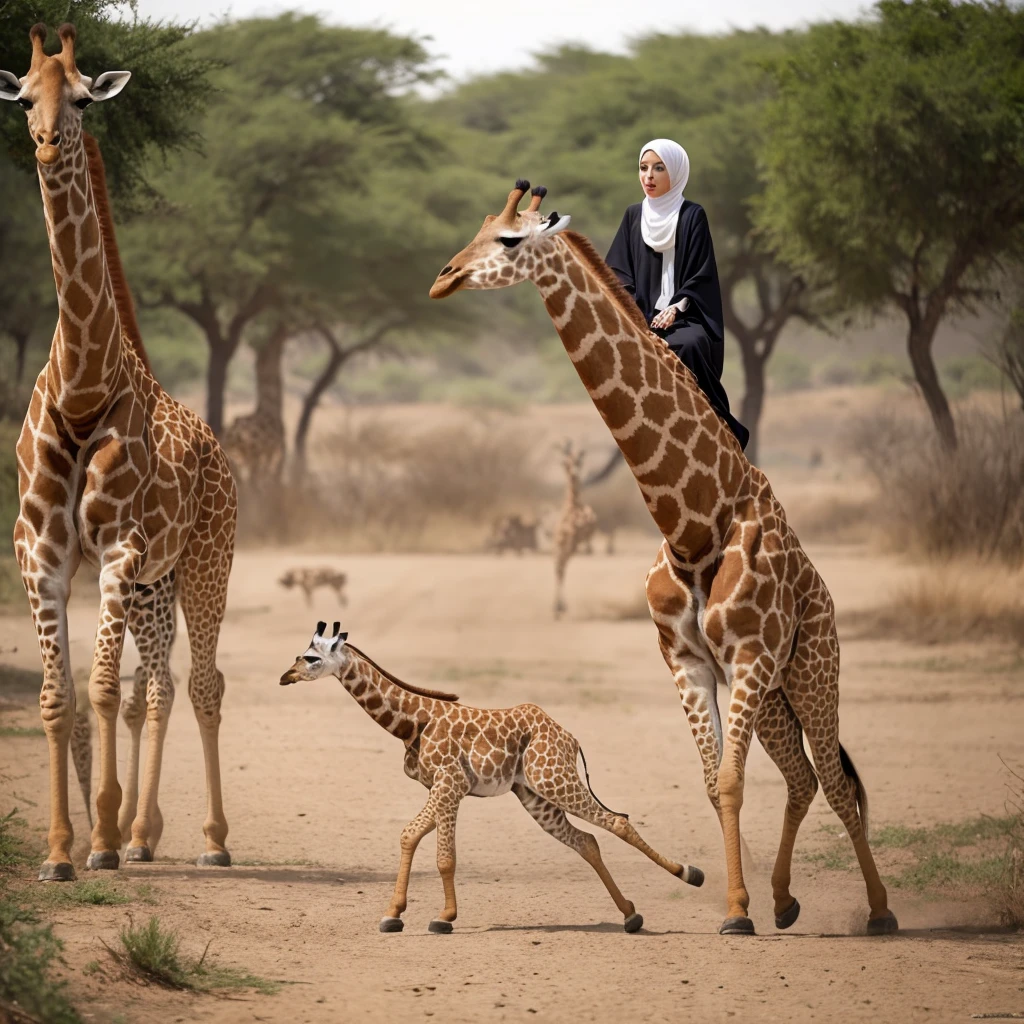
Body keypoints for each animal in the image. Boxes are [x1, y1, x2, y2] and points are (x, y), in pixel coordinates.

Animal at [1, 28, 235, 884]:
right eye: (23, 96)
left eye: (80, 99)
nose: (44, 142)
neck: (81, 385)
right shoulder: (42, 553)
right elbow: (59, 698)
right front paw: (61, 851)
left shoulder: (115, 551)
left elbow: (99, 690)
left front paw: (98, 836)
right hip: (153, 585)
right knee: (156, 684)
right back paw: (142, 832)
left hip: (202, 561)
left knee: (200, 681)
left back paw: (206, 839)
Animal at [278, 622, 704, 937]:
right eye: (299, 654)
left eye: (311, 657)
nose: (286, 676)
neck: (411, 722)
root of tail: (569, 737)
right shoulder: (443, 787)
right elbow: (410, 834)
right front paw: (393, 915)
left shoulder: (450, 783)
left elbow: (444, 856)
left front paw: (443, 918)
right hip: (534, 794)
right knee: (587, 840)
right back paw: (630, 914)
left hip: (552, 779)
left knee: (616, 821)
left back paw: (690, 875)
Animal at [552, 438, 598, 618]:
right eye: (566, 463)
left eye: (579, 461)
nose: (574, 474)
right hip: (563, 549)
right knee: (559, 568)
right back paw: (558, 608)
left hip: (564, 549)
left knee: (559, 568)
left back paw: (558, 608)